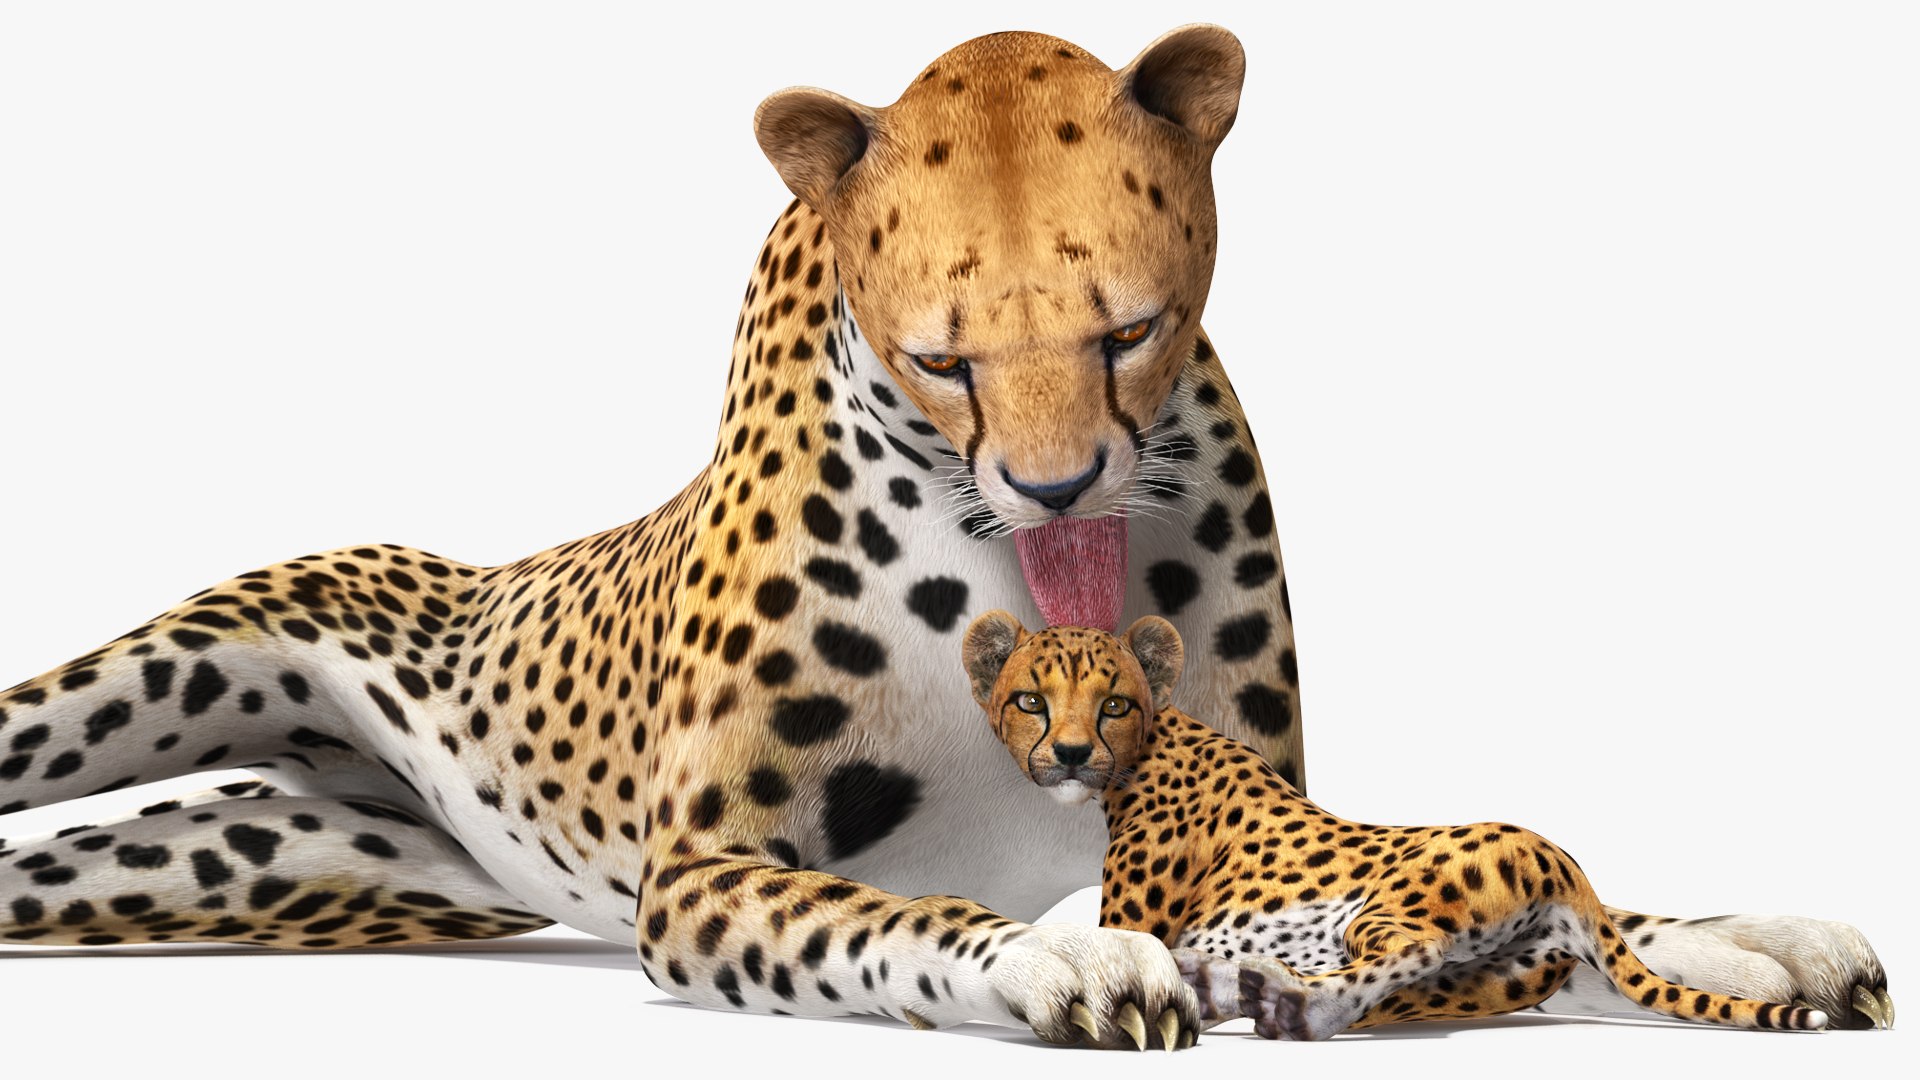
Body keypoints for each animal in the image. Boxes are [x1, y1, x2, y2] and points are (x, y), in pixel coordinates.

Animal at [962, 612, 1863, 1040]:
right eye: (1031, 700)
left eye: (1112, 704)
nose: (1071, 754)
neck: (1157, 735)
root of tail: (1565, 862)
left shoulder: (1135, 925)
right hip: (1486, 980)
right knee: (1399, 986)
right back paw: (1255, 992)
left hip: (1393, 904)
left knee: (1406, 950)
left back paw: (1281, 1001)